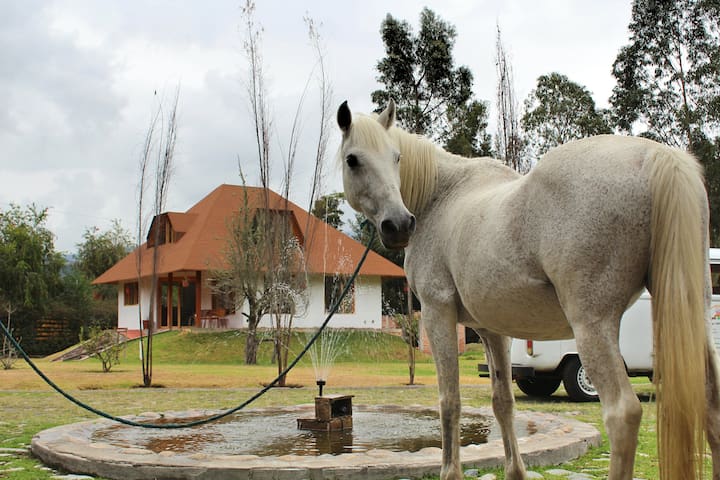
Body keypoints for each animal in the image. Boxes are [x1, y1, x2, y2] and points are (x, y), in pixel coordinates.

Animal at [338, 98, 720, 480]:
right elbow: (503, 402)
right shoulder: (492, 331)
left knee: (622, 414)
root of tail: (656, 155)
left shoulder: (437, 313)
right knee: (711, 407)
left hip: (592, 328)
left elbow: (450, 401)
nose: (399, 225)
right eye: (354, 159)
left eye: (396, 157)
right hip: (693, 319)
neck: (440, 196)